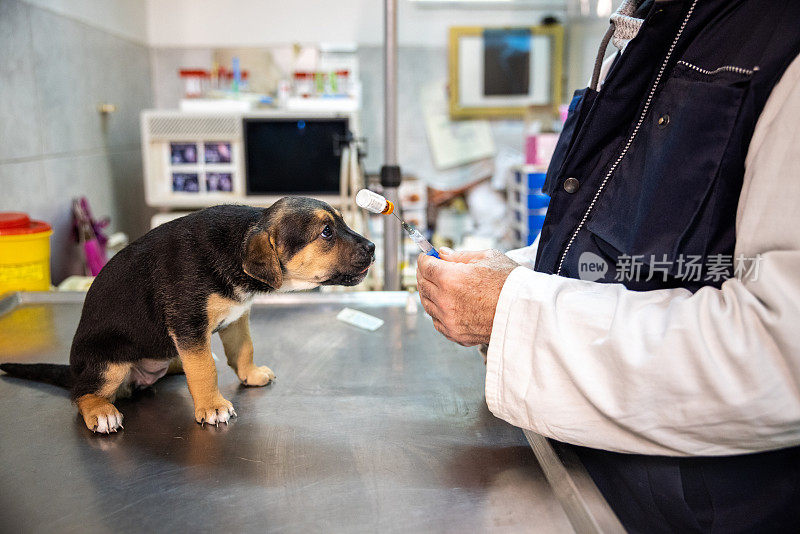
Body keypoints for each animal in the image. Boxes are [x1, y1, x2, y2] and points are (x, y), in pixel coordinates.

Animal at [0, 199, 376, 434]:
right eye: (326, 233)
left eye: (342, 223)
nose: (372, 248)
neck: (236, 245)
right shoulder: (189, 324)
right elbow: (205, 368)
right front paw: (211, 406)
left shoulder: (236, 318)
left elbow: (243, 350)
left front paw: (250, 374)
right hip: (108, 361)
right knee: (82, 392)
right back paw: (102, 412)